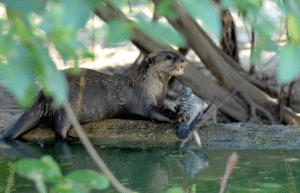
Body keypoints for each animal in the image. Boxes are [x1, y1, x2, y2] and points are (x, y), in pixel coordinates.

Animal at [0, 51, 188, 140]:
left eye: (178, 54)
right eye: (170, 57)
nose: (184, 60)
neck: (153, 88)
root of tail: (43, 94)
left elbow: (163, 108)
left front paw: (174, 108)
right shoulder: (142, 102)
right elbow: (155, 114)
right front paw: (178, 116)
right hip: (66, 107)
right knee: (60, 129)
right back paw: (72, 139)